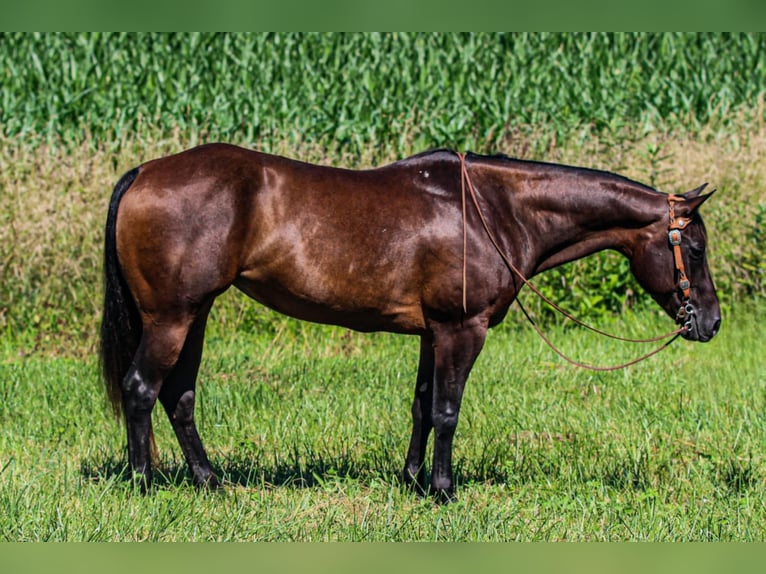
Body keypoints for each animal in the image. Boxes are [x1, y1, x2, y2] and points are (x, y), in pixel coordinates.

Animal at [100, 144, 720, 500]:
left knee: (178, 395)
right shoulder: (461, 329)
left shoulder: (432, 333)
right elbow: (447, 410)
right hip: (172, 317)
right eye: (694, 246)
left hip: (194, 314)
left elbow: (423, 405)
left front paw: (412, 481)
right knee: (141, 388)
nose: (710, 323)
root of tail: (144, 172)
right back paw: (142, 484)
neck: (493, 209)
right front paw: (443, 490)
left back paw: (209, 483)